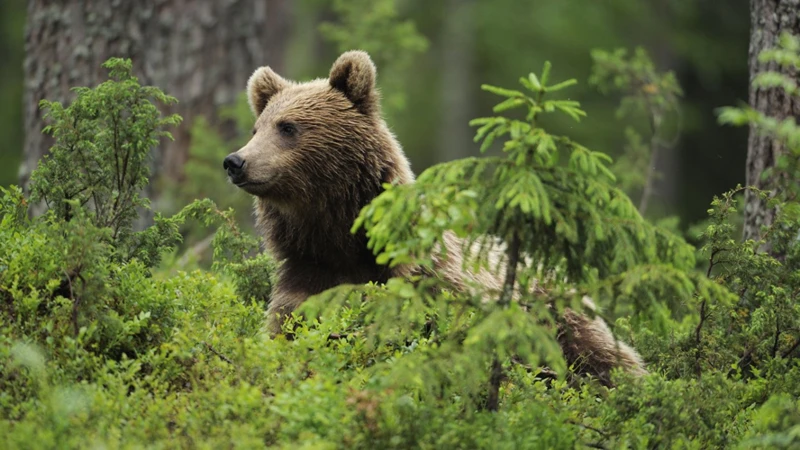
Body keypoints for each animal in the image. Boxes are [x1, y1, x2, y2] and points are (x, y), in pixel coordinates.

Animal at [222, 51, 648, 382]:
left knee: (607, 358)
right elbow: (289, 336)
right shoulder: (306, 280)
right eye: (257, 128)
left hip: (560, 316)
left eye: (288, 127)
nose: (235, 161)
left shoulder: (431, 283)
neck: (342, 238)